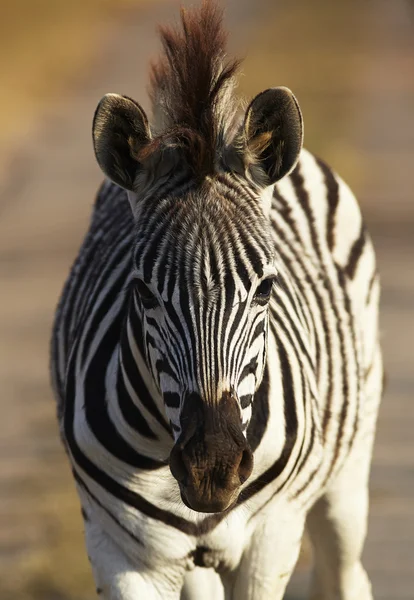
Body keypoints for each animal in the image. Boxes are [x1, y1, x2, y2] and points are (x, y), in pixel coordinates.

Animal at [50, 2, 384, 596]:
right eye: (143, 291)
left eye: (266, 288)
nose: (212, 469)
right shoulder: (117, 550)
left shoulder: (270, 539)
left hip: (347, 474)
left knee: (344, 571)